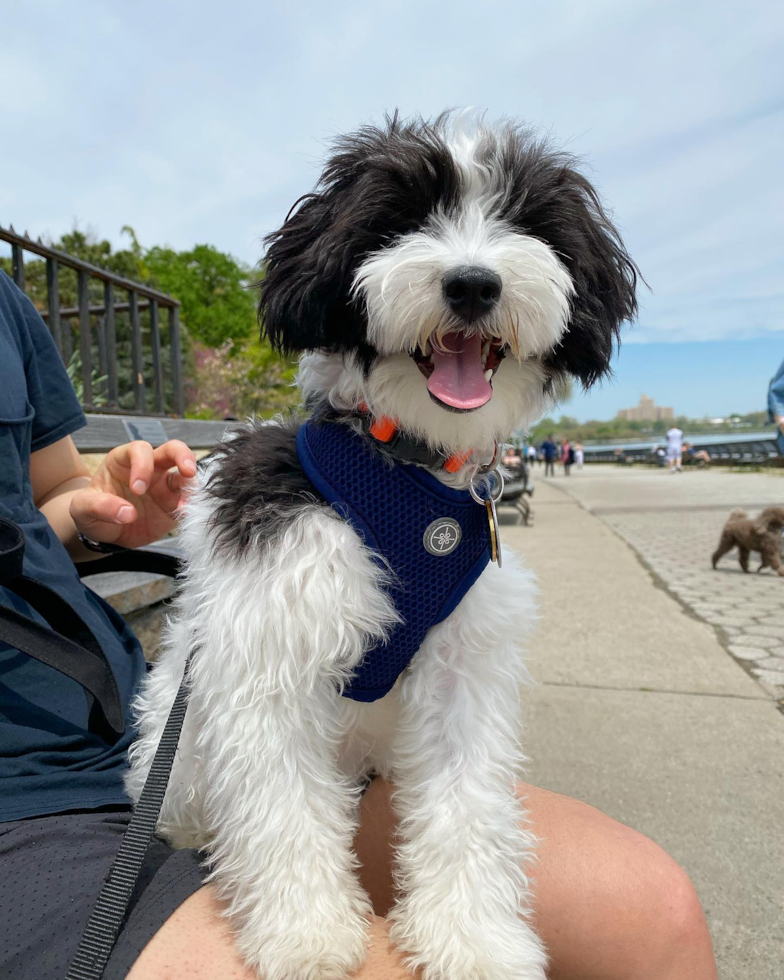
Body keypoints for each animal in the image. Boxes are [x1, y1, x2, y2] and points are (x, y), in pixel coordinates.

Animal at [127, 111, 636, 976]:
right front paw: (306, 933)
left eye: (523, 221)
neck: (409, 471)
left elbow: (468, 804)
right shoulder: (274, 637)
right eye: (401, 220)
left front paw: (475, 937)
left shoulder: (466, 663)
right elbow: (281, 802)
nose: (473, 284)